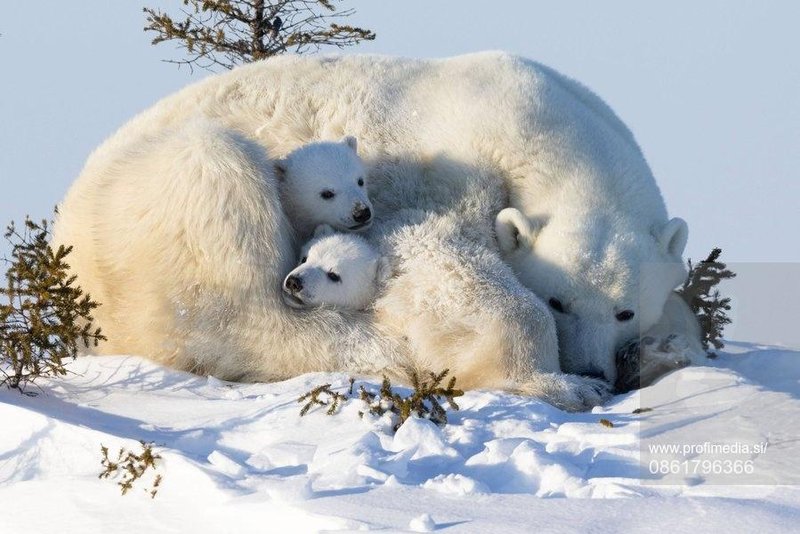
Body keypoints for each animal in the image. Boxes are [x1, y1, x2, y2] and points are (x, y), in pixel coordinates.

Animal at [51, 52, 692, 412]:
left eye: (626, 311)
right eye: (559, 302)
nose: (594, 371)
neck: (540, 131)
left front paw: (665, 347)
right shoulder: (444, 171)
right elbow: (441, 262)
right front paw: (558, 385)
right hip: (153, 204)